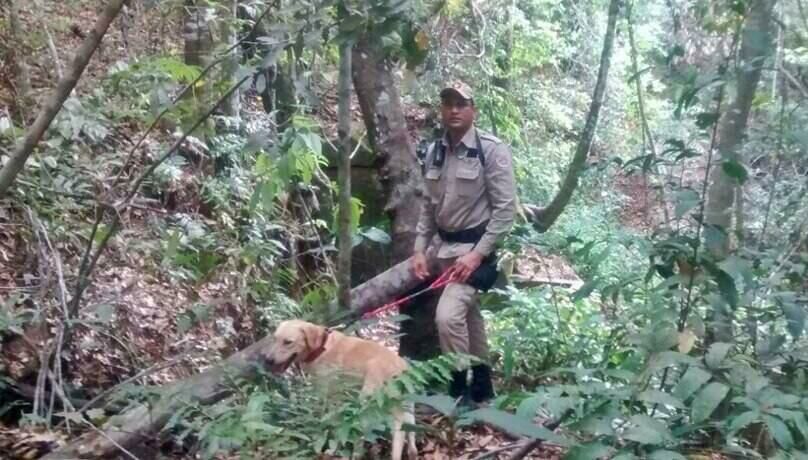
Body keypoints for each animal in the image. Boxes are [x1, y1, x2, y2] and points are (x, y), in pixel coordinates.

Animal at [264, 320, 416, 460]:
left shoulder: (330, 398)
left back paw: (356, 453)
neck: (321, 348)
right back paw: (412, 452)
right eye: (274, 339)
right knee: (409, 429)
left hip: (367, 402)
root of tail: (399, 368)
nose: (268, 360)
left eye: (288, 342)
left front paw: (331, 448)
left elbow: (332, 424)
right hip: (406, 406)